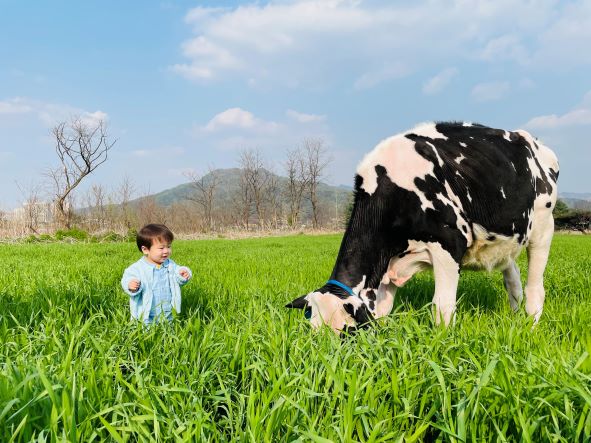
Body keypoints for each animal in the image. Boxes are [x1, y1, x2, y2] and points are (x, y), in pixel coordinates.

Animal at [286, 121, 560, 332]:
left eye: (346, 331)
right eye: (313, 332)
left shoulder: (449, 244)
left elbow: (442, 306)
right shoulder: (386, 265)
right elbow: (382, 310)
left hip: (543, 228)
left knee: (535, 288)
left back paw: (531, 327)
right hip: (505, 240)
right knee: (513, 279)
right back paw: (515, 319)